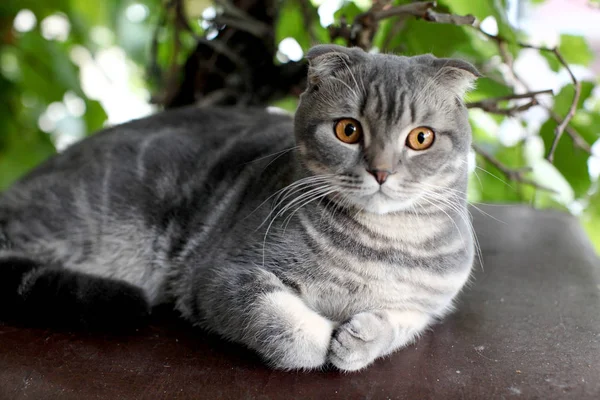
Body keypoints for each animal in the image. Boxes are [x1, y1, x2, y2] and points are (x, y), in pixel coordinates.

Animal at [0, 45, 478, 370]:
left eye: (421, 138)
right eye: (348, 130)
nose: (381, 171)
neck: (380, 248)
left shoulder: (432, 302)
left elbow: (403, 322)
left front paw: (359, 339)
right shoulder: (219, 275)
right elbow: (287, 329)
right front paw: (325, 336)